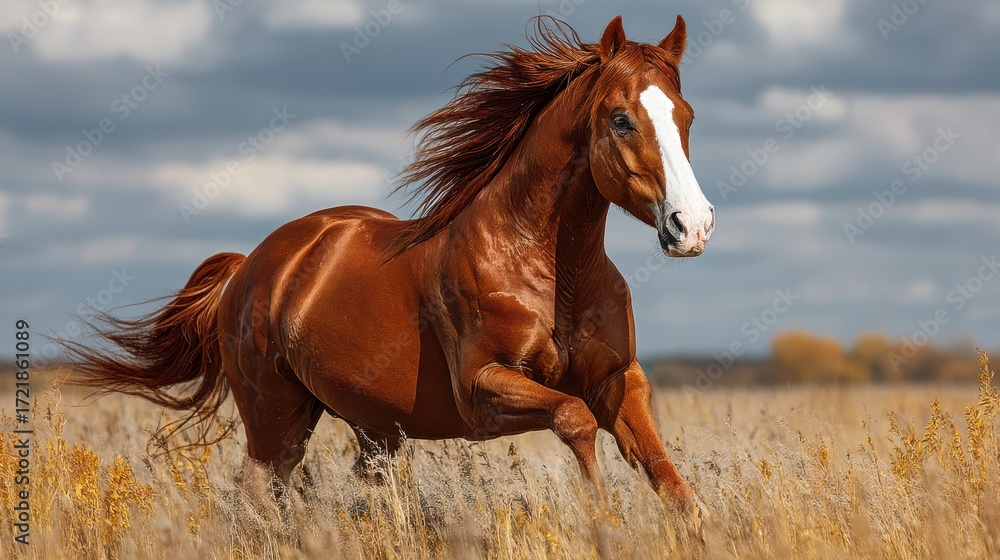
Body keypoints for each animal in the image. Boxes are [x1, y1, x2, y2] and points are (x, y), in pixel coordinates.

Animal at [63, 15, 715, 530]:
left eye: (686, 116)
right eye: (621, 118)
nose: (692, 226)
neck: (553, 273)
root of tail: (251, 267)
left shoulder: (619, 380)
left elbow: (670, 481)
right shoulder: (482, 390)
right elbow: (574, 419)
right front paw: (601, 512)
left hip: (374, 427)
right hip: (275, 423)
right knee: (260, 495)